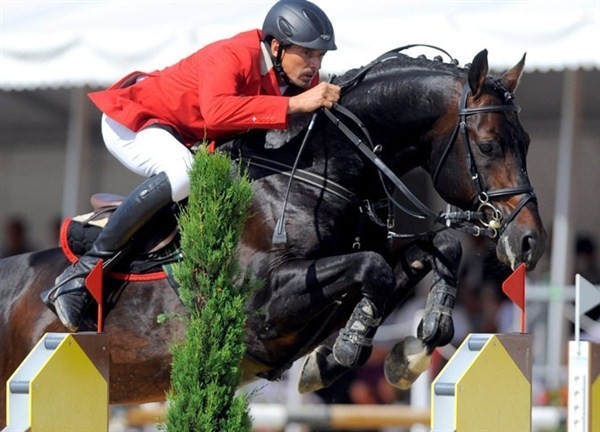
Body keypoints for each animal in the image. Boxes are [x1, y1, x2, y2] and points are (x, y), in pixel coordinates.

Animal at [0, 48, 544, 426]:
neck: (320, 173)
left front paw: (408, 348)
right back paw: (72, 292)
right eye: (489, 145)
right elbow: (374, 270)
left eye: (527, 142)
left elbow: (429, 251)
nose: (530, 243)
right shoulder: (262, 306)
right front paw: (344, 353)